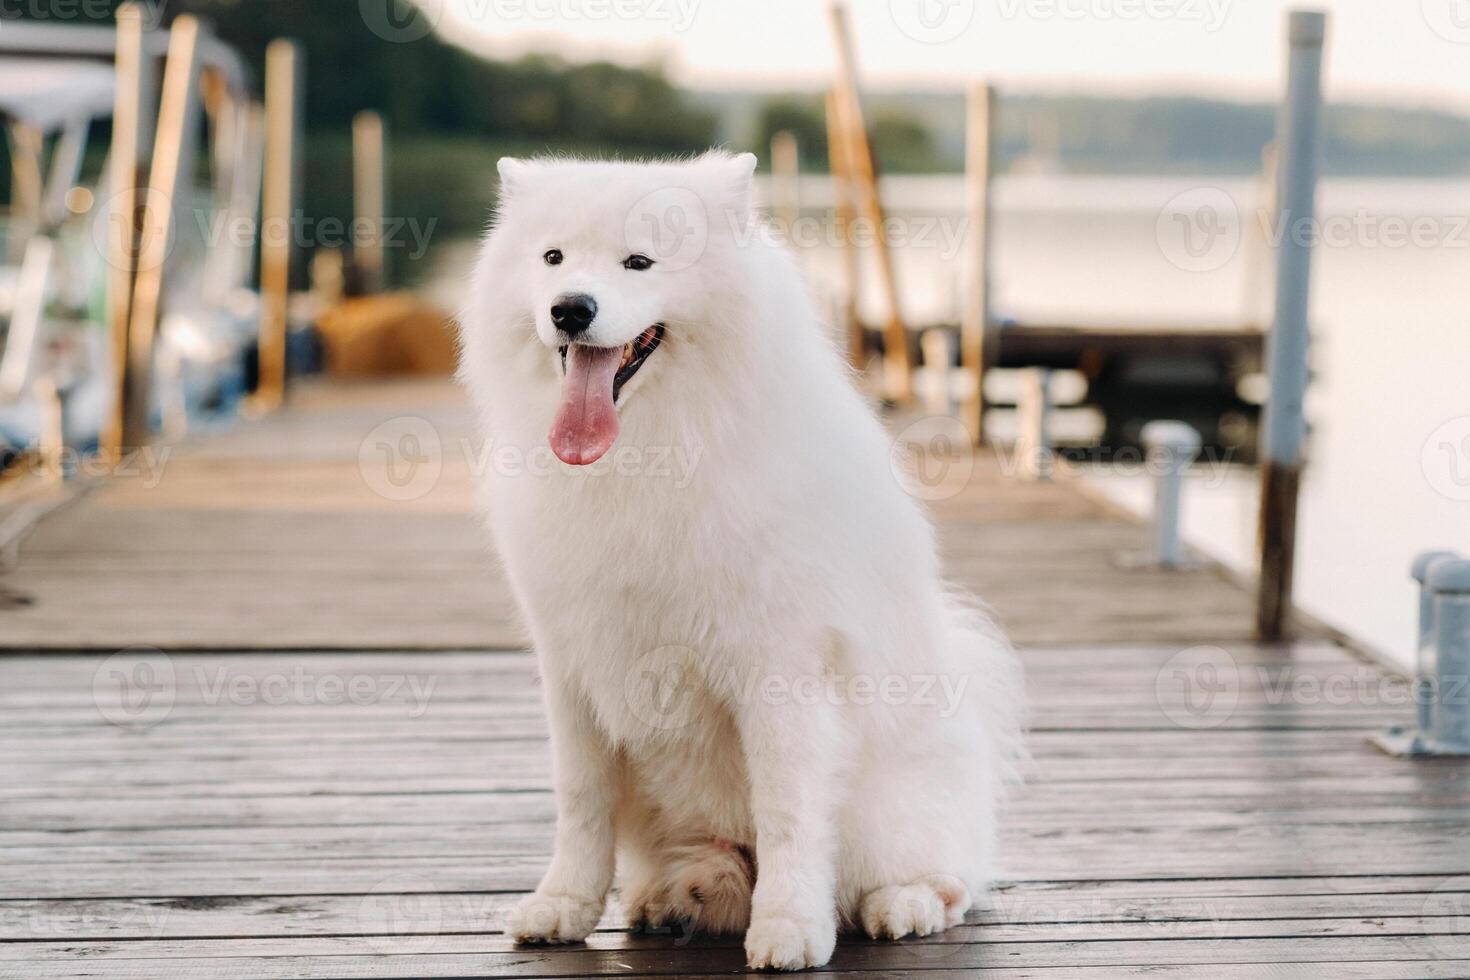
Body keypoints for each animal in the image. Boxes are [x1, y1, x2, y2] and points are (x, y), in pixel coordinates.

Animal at [458, 149, 1023, 969]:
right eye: (552, 259)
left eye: (639, 262)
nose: (570, 308)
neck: (651, 453)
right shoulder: (571, 666)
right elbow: (581, 802)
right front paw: (561, 907)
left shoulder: (781, 668)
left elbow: (788, 811)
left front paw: (789, 929)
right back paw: (680, 895)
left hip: (897, 804)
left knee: (947, 878)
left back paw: (901, 904)